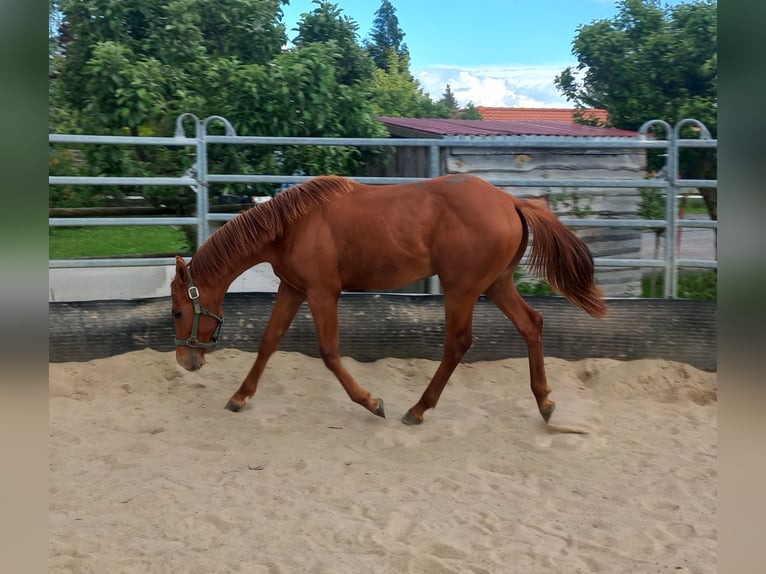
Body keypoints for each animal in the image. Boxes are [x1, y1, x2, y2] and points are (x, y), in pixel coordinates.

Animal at [171, 176, 608, 428]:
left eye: (177, 311)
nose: (185, 360)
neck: (293, 226)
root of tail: (510, 201)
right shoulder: (293, 289)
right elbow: (268, 342)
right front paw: (239, 397)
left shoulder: (322, 292)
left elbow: (329, 352)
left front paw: (371, 402)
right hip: (497, 284)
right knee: (531, 324)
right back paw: (545, 402)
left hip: (462, 290)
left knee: (458, 344)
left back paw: (417, 409)